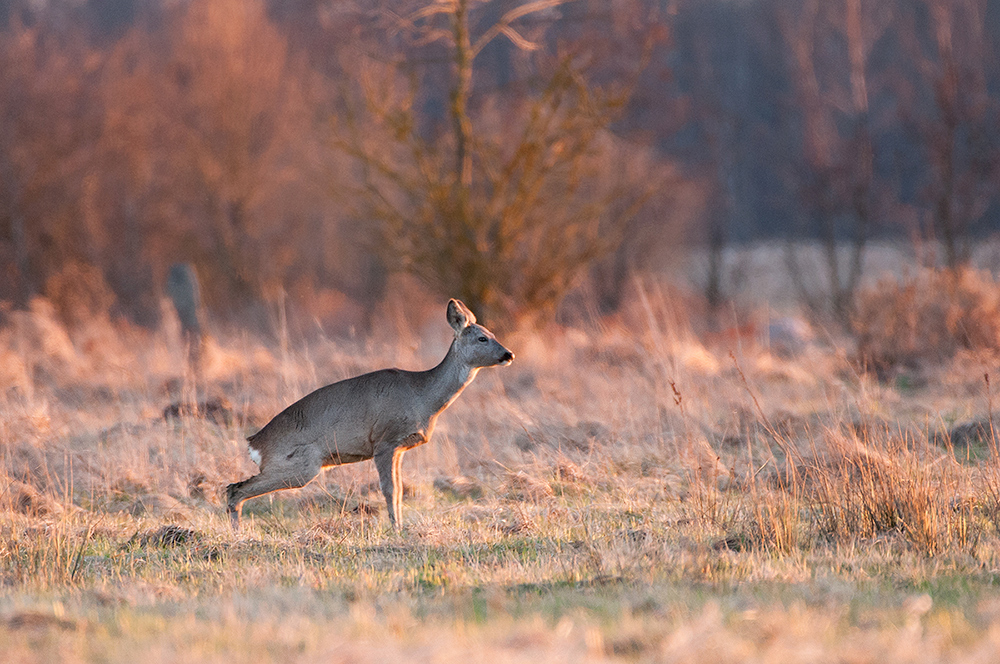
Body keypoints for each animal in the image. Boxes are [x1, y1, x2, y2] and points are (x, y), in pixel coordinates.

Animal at [224, 300, 512, 528]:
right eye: (482, 338)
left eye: (492, 333)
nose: (508, 354)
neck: (423, 396)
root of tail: (254, 444)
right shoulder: (384, 441)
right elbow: (389, 490)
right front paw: (396, 529)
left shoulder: (399, 448)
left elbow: (399, 490)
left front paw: (400, 526)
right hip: (299, 466)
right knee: (235, 489)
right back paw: (238, 534)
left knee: (233, 488)